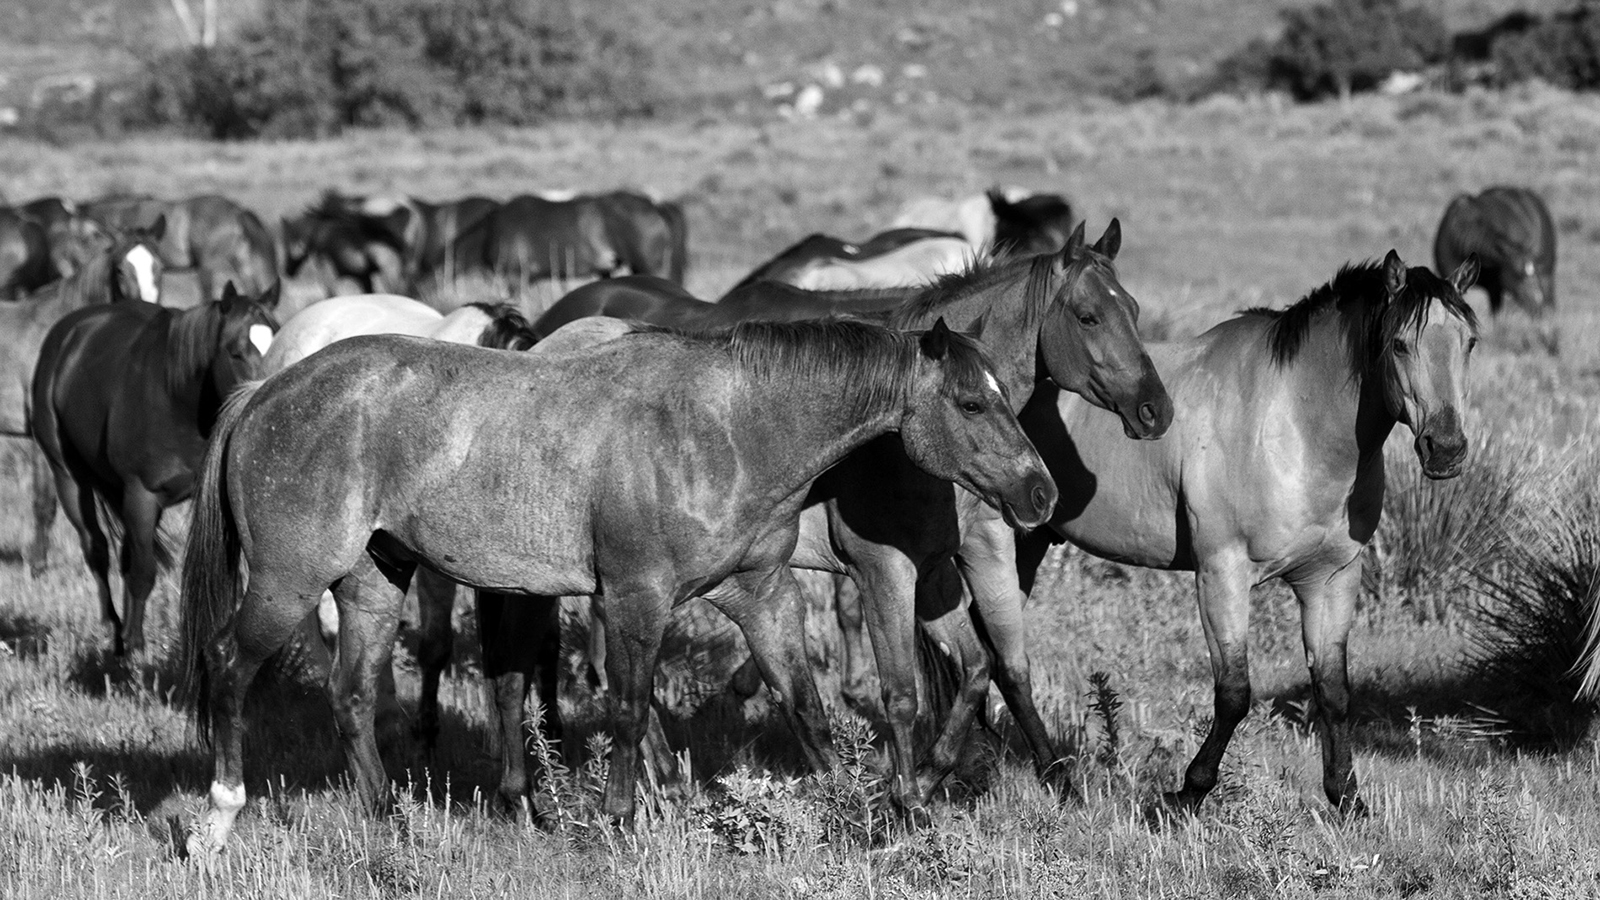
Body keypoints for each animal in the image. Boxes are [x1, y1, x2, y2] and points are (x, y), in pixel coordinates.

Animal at [32, 281, 280, 656]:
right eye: (236, 351)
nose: (261, 397)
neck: (178, 400)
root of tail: (66, 335)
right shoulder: (141, 495)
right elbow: (144, 571)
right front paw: (135, 643)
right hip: (69, 477)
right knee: (96, 548)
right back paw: (116, 630)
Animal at [180, 315, 1056, 851]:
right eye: (972, 402)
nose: (1040, 493)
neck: (725, 429)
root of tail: (265, 393)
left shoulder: (760, 594)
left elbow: (805, 707)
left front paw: (863, 814)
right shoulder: (637, 598)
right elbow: (631, 710)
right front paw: (620, 821)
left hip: (372, 580)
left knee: (354, 694)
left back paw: (390, 819)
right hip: (291, 581)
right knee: (228, 666)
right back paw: (217, 821)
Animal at [467, 221, 1172, 817]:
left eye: (1136, 311)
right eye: (1088, 315)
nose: (1155, 410)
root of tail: (551, 334)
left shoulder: (962, 557)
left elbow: (992, 666)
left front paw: (980, 772)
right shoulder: (883, 567)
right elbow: (906, 688)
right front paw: (911, 791)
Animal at [903, 250, 1478, 820]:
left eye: (1470, 340)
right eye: (1400, 344)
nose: (1446, 448)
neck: (1292, 424)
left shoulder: (1332, 579)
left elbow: (1333, 691)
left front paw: (1348, 798)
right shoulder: (1221, 573)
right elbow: (1234, 693)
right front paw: (1187, 793)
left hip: (1029, 543)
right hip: (991, 545)